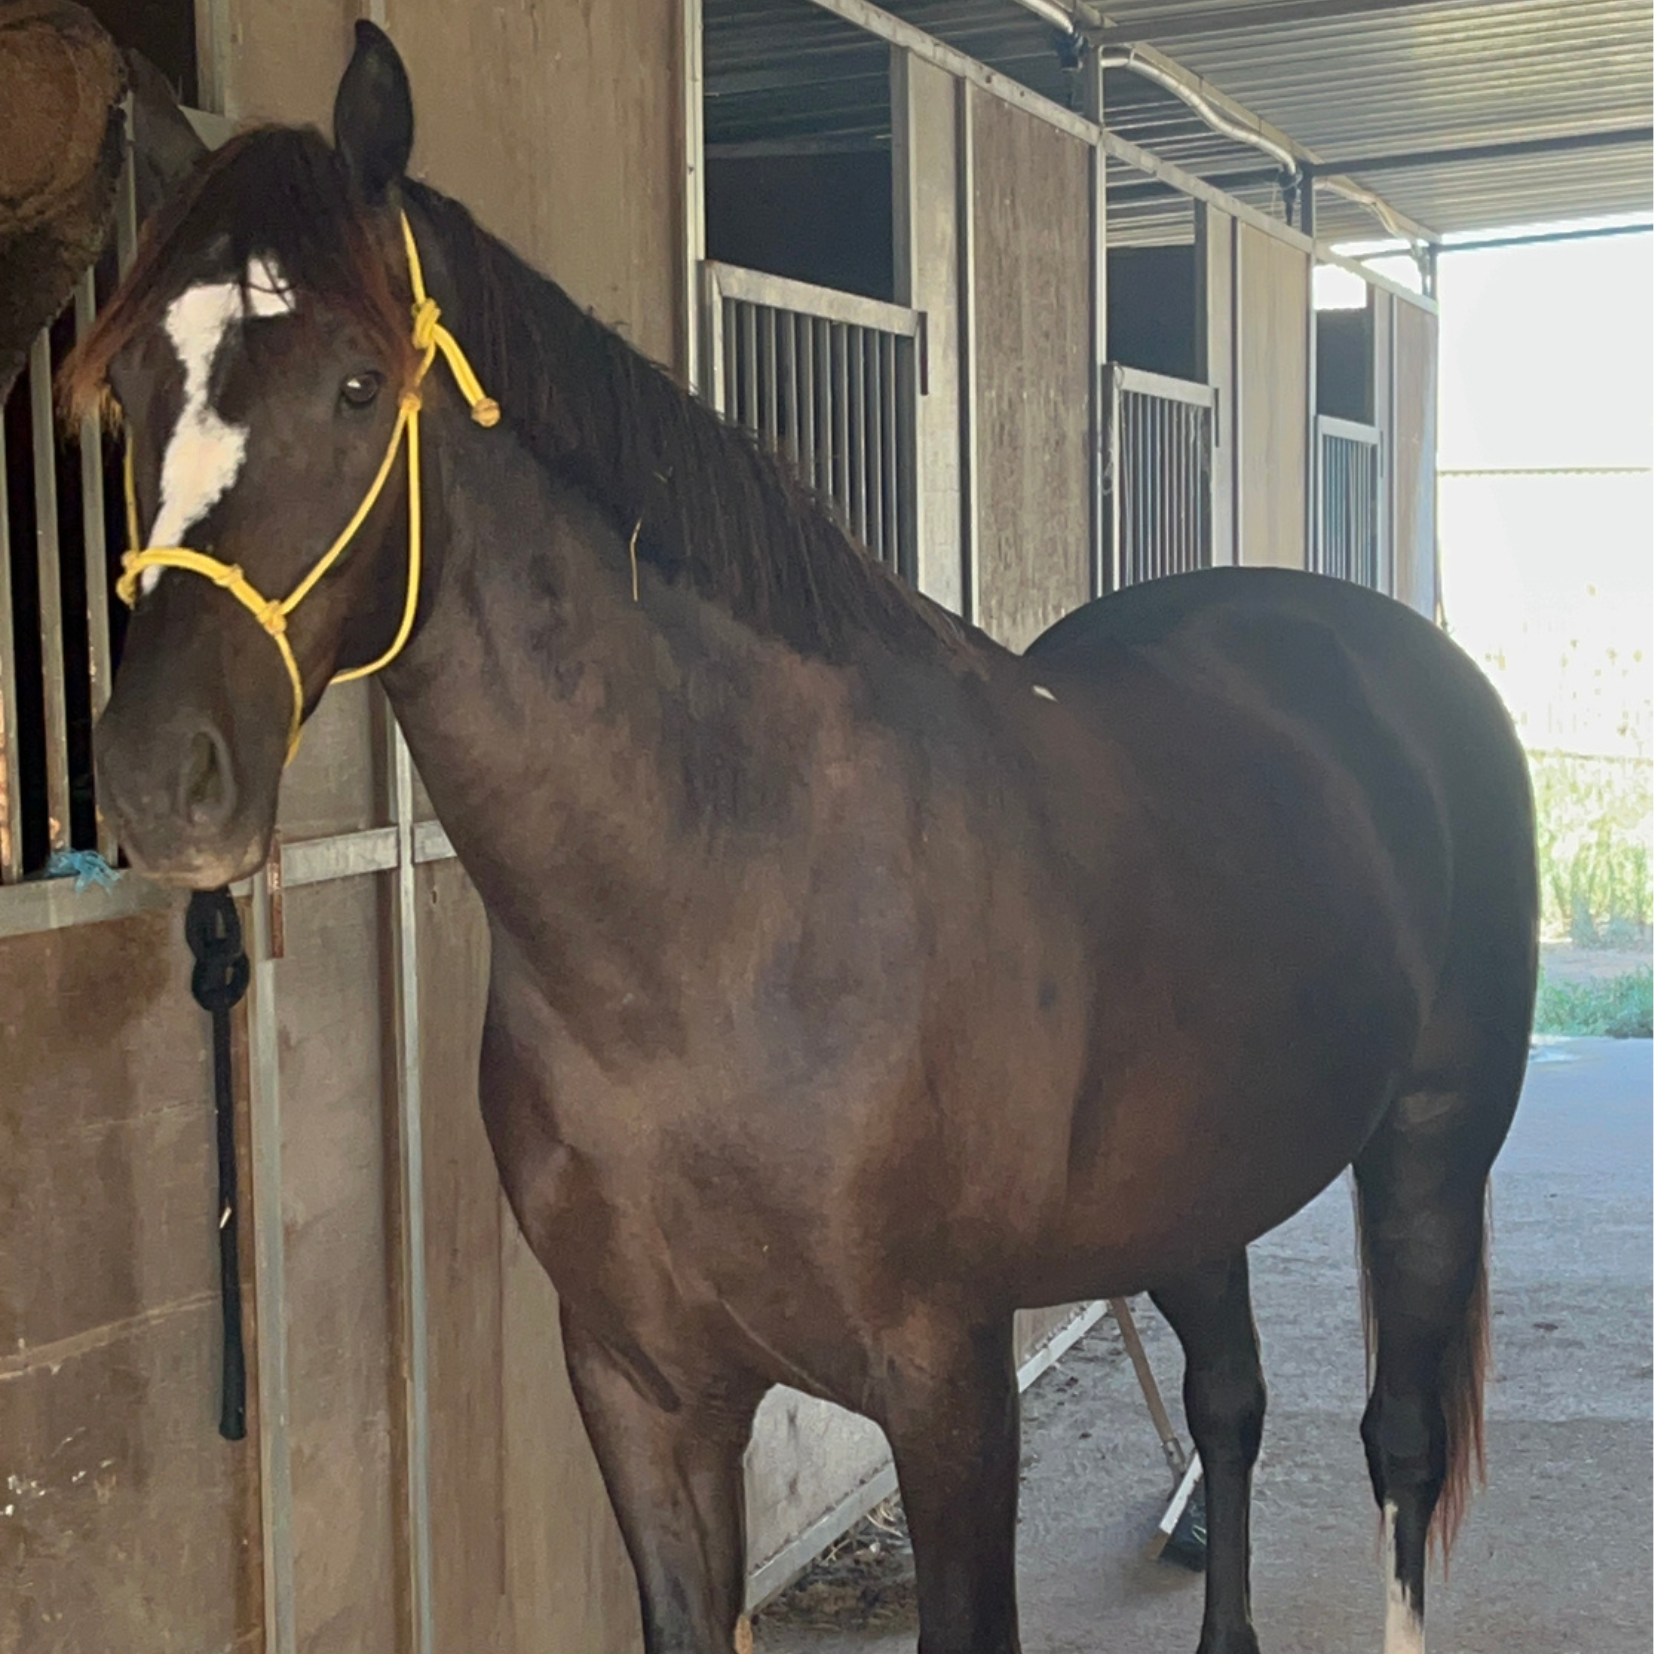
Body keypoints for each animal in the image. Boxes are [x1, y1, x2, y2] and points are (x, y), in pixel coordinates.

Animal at [69, 24, 1537, 1654]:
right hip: (1195, 1182)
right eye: (127, 381)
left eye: (352, 380)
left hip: (1428, 1148)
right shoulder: (642, 1392)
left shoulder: (948, 1389)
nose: (155, 780)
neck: (721, 919)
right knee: (1229, 1402)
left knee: (1397, 1443)